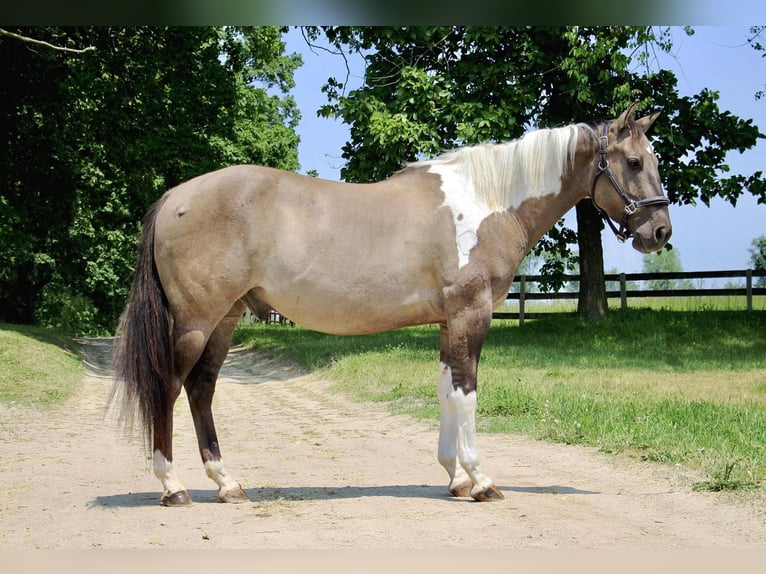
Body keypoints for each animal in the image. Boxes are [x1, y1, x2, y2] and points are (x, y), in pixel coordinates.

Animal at [112, 104, 672, 508]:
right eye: (634, 163)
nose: (660, 232)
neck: (486, 203)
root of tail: (173, 198)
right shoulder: (471, 315)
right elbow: (468, 395)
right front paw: (480, 479)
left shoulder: (450, 322)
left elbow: (447, 392)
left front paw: (454, 478)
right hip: (195, 321)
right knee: (170, 386)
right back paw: (173, 487)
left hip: (226, 319)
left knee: (202, 388)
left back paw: (227, 483)